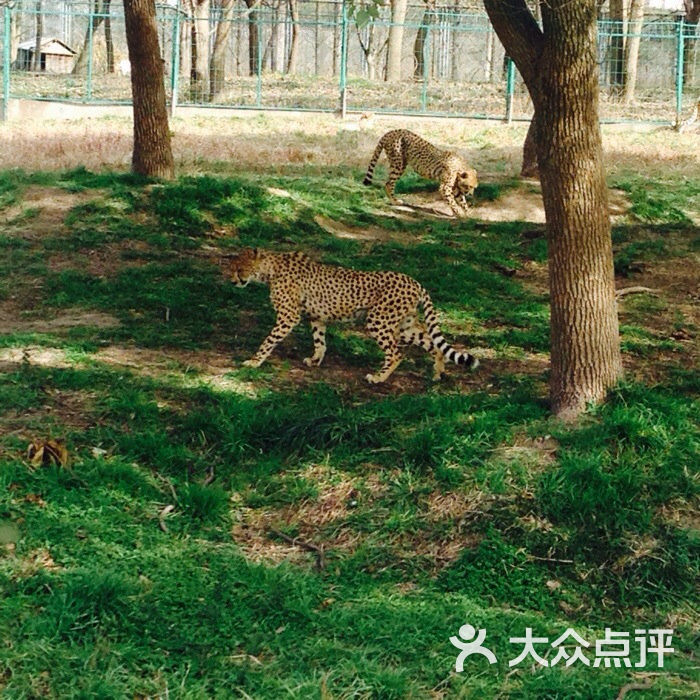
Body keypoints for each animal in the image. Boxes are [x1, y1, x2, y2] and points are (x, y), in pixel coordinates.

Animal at [232, 249, 478, 386]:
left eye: (239, 268)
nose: (233, 280)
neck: (271, 268)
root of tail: (414, 281)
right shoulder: (317, 317)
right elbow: (320, 341)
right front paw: (315, 360)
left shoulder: (288, 317)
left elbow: (269, 340)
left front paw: (254, 361)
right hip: (403, 327)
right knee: (432, 342)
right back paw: (438, 372)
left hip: (378, 321)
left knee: (396, 353)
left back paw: (378, 378)